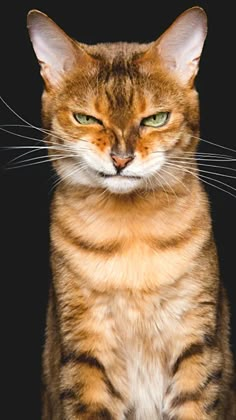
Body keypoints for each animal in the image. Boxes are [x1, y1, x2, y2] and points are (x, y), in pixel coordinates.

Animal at [27, 6, 236, 420]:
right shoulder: (85, 354)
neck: (131, 237)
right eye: (86, 118)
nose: (121, 159)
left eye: (155, 119)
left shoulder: (197, 349)